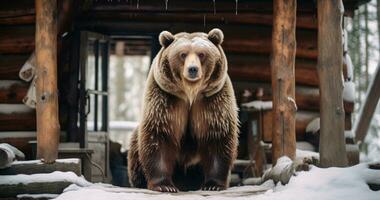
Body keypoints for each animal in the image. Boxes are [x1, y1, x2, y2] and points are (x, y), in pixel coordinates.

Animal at [129, 28, 239, 192]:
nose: (192, 69)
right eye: (183, 54)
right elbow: (159, 136)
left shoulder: (212, 101)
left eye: (201, 54)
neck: (190, 93)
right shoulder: (166, 98)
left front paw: (213, 185)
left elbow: (217, 137)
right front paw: (164, 185)